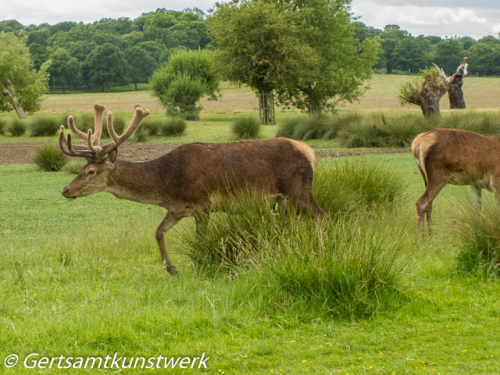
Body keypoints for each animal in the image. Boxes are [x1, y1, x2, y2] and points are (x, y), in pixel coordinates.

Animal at [59, 104, 324, 274]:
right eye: (81, 167)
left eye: (91, 171)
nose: (65, 190)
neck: (166, 185)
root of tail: (311, 153)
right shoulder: (177, 209)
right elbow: (158, 232)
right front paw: (171, 268)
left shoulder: (203, 203)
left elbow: (201, 238)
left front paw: (201, 262)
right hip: (280, 201)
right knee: (287, 226)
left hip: (299, 189)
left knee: (322, 216)